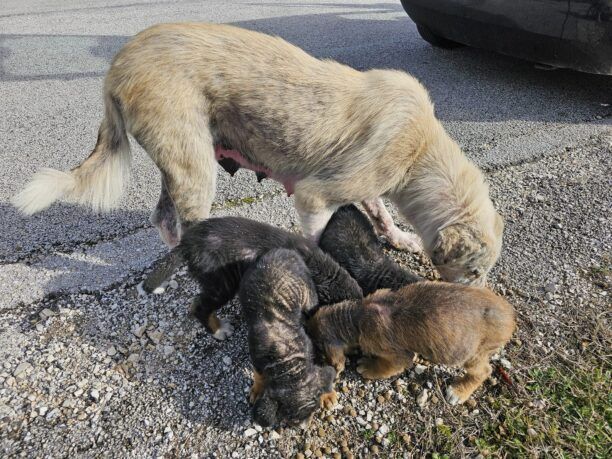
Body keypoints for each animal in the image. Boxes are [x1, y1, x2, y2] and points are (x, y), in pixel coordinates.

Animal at [13, 24, 502, 288]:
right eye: (475, 270)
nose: (482, 294)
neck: (421, 149)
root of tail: (118, 63)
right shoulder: (314, 197)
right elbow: (319, 240)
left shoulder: (363, 183)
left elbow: (379, 212)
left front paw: (399, 237)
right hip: (195, 167)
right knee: (190, 227)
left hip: (181, 161)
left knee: (163, 220)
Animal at [239, 250, 338, 430]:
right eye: (290, 417)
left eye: (314, 410)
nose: (303, 428)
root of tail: (282, 250)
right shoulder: (256, 356)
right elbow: (258, 374)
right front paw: (257, 389)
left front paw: (328, 394)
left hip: (309, 294)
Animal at [308, 284, 512, 406]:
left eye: (318, 346)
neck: (356, 316)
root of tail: (511, 318)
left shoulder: (397, 355)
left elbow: (386, 366)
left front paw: (368, 366)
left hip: (472, 354)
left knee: (483, 371)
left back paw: (458, 392)